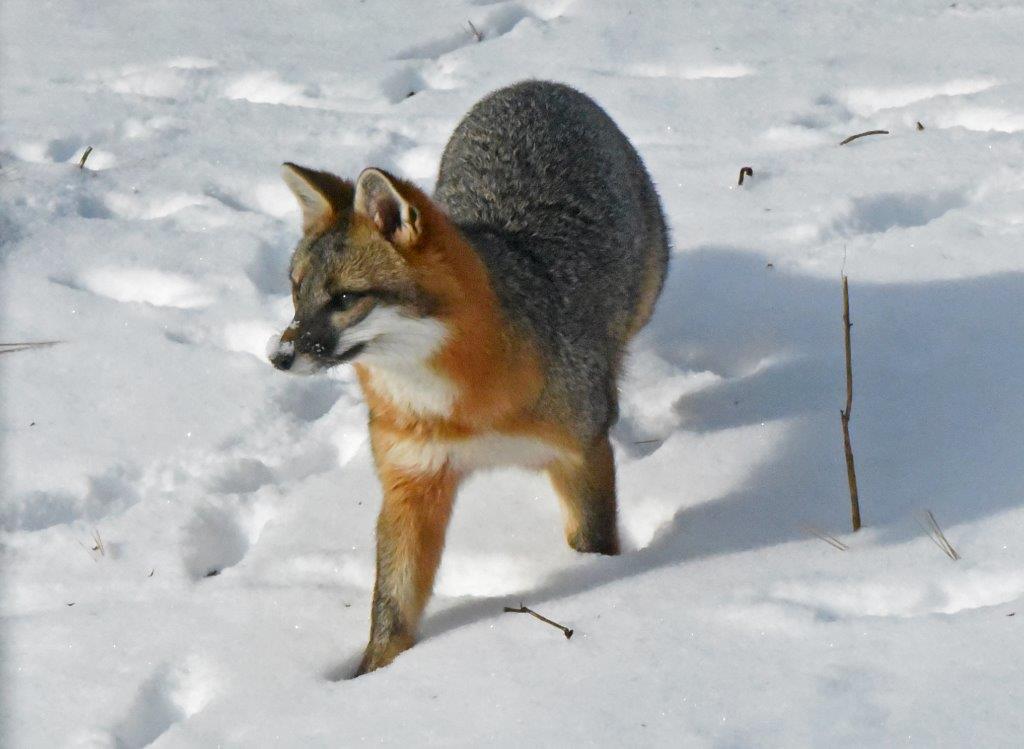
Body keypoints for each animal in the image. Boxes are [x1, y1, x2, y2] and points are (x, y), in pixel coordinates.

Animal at [268, 80, 669, 675]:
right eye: (297, 292)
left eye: (343, 299)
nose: (279, 356)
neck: (455, 406)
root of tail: (534, 85)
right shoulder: (413, 481)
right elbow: (391, 611)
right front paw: (371, 679)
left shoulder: (581, 453)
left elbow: (593, 542)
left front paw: (608, 583)